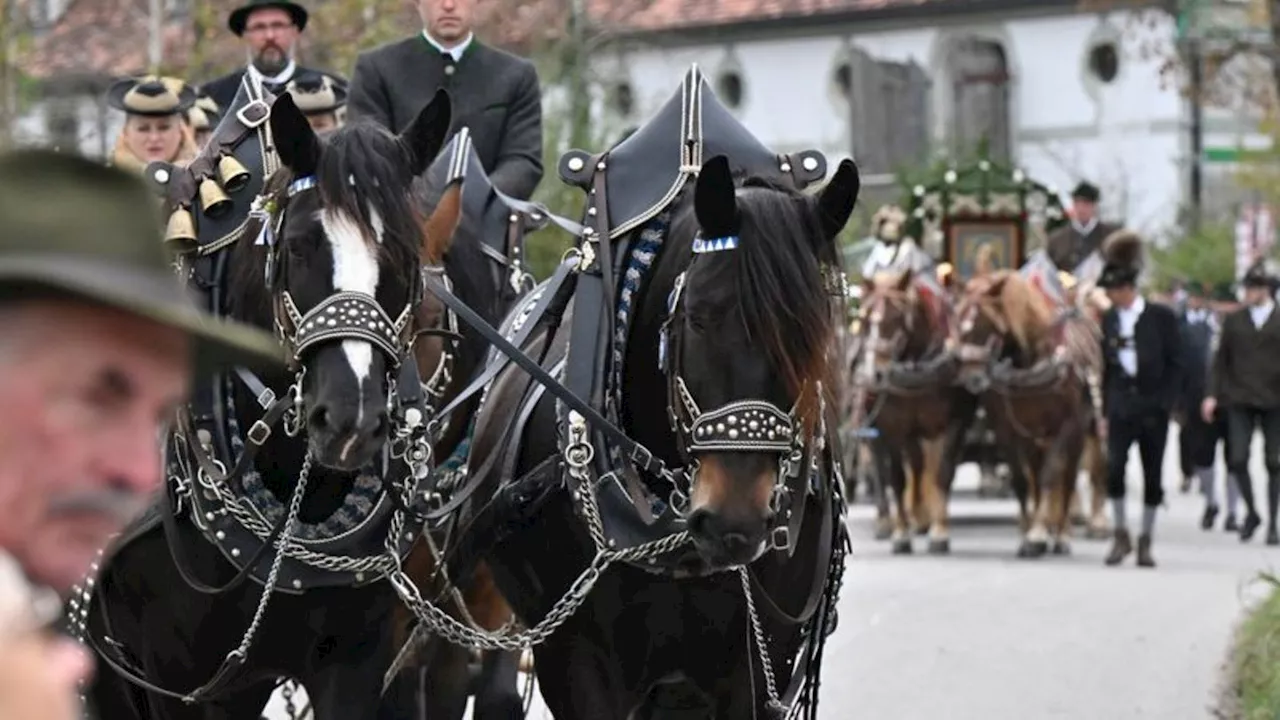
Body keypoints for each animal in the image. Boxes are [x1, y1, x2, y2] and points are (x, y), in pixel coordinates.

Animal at [855, 266, 962, 550]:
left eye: (896, 317)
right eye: (865, 320)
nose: (875, 375)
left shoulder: (950, 423)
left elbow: (941, 473)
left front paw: (939, 531)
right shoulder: (891, 428)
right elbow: (896, 478)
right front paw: (901, 534)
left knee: (918, 464)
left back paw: (921, 518)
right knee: (883, 469)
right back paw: (887, 522)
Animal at [952, 269, 1090, 556]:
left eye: (983, 324)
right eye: (958, 322)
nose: (972, 378)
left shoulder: (1066, 425)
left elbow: (1051, 475)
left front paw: (1039, 533)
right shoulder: (1007, 429)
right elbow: (1021, 480)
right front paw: (1030, 535)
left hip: (1078, 434)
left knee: (1068, 476)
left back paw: (1061, 533)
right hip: (1033, 437)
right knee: (1035, 475)